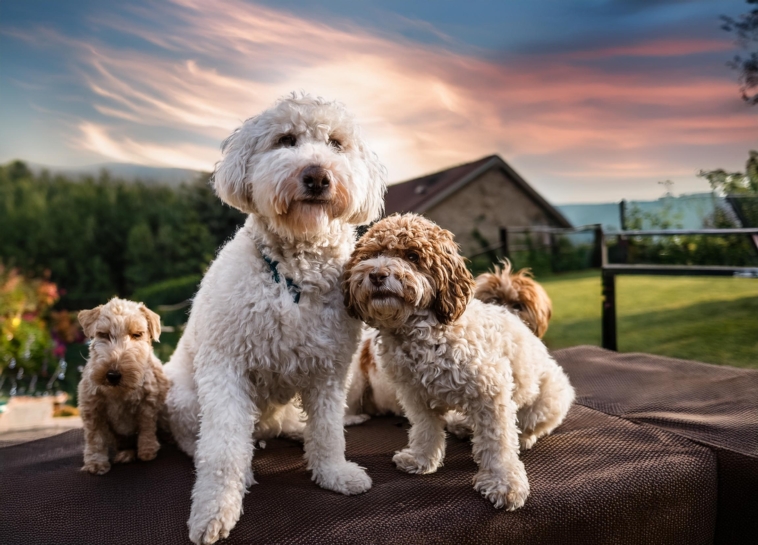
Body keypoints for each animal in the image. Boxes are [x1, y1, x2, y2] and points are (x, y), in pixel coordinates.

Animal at [77, 298, 169, 472]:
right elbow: (95, 437)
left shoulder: (148, 402)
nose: (113, 375)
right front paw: (96, 462)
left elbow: (146, 427)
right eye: (104, 335)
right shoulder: (92, 408)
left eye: (137, 334)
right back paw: (125, 454)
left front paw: (147, 451)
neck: (118, 391)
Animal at [344, 214, 576, 510]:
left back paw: (524, 436)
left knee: (532, 424)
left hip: (549, 398)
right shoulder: (415, 395)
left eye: (412, 256)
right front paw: (421, 460)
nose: (377, 275)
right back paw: (464, 426)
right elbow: (425, 430)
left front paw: (504, 484)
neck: (420, 332)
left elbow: (498, 443)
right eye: (371, 255)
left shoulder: (492, 393)